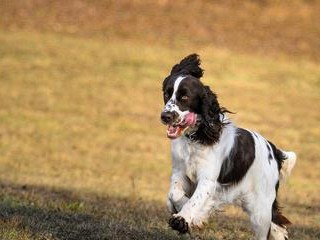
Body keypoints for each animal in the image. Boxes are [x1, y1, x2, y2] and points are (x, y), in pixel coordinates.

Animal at [161, 54, 296, 240]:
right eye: (166, 94)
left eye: (185, 98)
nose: (165, 116)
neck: (195, 138)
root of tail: (274, 151)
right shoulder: (179, 171)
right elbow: (174, 194)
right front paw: (187, 214)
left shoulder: (207, 179)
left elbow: (195, 200)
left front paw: (183, 219)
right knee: (278, 226)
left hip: (260, 209)